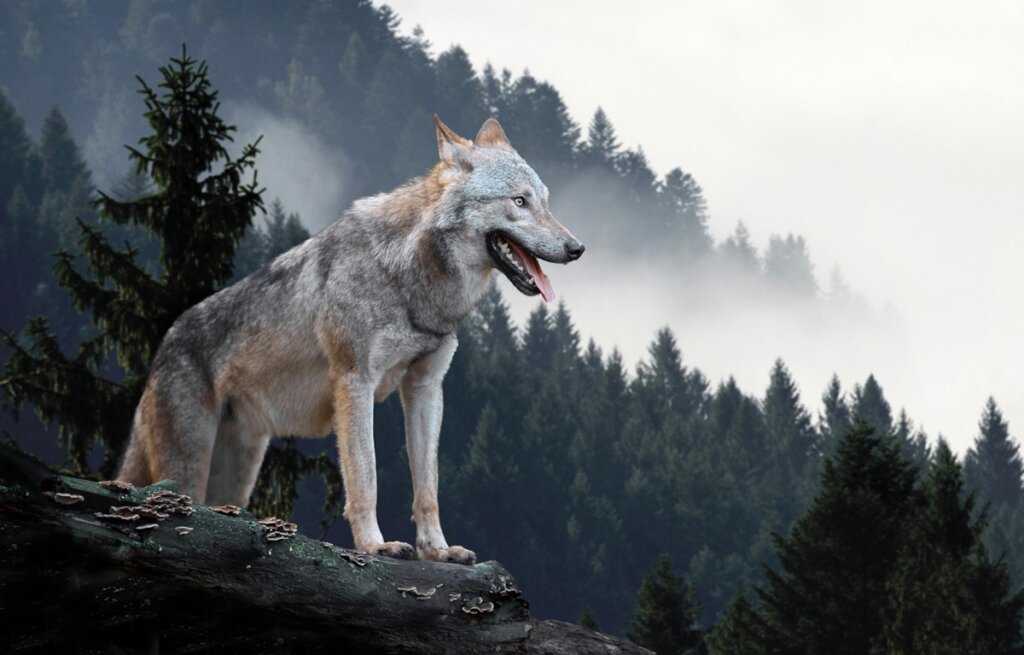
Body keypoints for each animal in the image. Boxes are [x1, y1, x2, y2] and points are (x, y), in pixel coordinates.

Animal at [117, 116, 584, 563]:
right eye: (519, 201)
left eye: (545, 201)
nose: (577, 248)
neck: (409, 279)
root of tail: (162, 346)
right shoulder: (355, 382)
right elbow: (366, 477)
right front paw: (375, 546)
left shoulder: (426, 389)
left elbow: (427, 488)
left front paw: (437, 550)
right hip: (188, 469)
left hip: (236, 477)